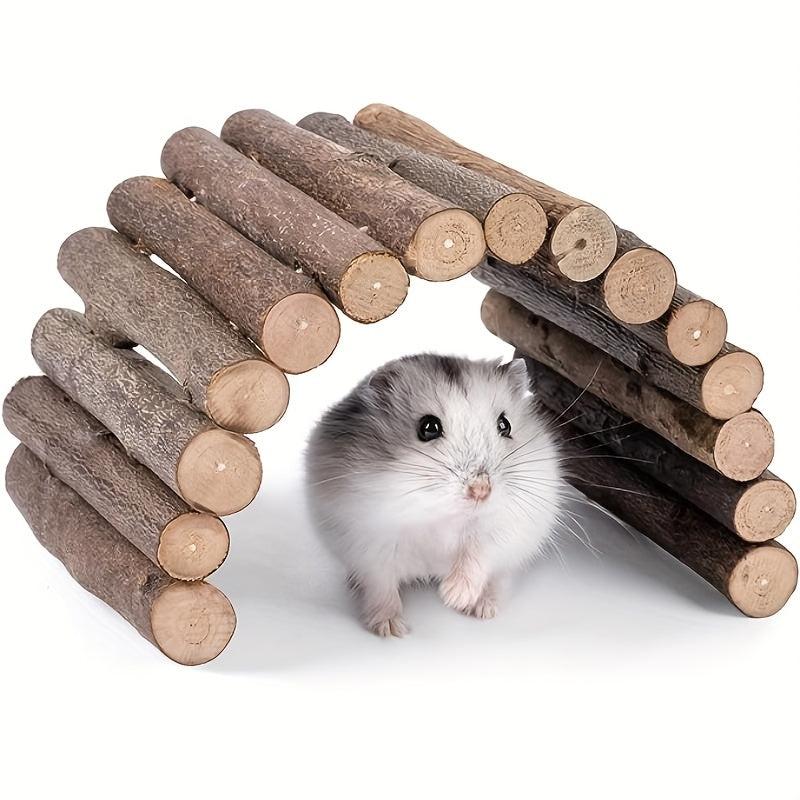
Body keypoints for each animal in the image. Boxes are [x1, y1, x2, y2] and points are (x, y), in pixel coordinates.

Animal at [304, 354, 563, 637]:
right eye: (428, 428)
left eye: (505, 425)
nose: (481, 491)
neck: (443, 514)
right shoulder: (371, 542)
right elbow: (381, 586)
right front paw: (391, 629)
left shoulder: (503, 528)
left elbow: (477, 555)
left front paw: (452, 597)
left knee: (499, 581)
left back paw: (483, 609)